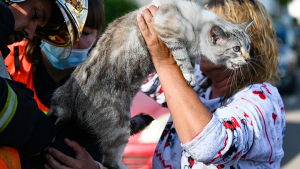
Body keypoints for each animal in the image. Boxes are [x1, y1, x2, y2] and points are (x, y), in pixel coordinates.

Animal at [47, 0, 253, 168]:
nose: (248, 58)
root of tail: (67, 94)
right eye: (236, 49)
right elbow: (182, 57)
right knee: (110, 162)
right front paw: (190, 75)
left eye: (248, 46)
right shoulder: (168, 31)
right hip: (119, 126)